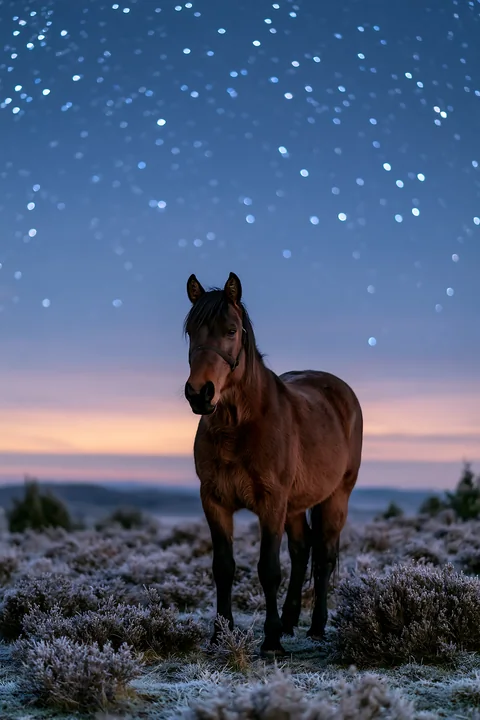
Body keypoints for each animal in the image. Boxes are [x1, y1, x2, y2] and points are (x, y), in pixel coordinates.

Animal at [183, 271, 363, 656]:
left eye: (231, 330)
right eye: (191, 331)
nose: (199, 394)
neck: (238, 426)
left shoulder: (271, 503)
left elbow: (268, 569)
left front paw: (271, 642)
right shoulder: (215, 502)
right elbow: (223, 567)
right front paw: (220, 635)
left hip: (335, 497)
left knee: (323, 556)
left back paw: (316, 626)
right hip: (294, 506)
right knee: (301, 551)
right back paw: (291, 620)